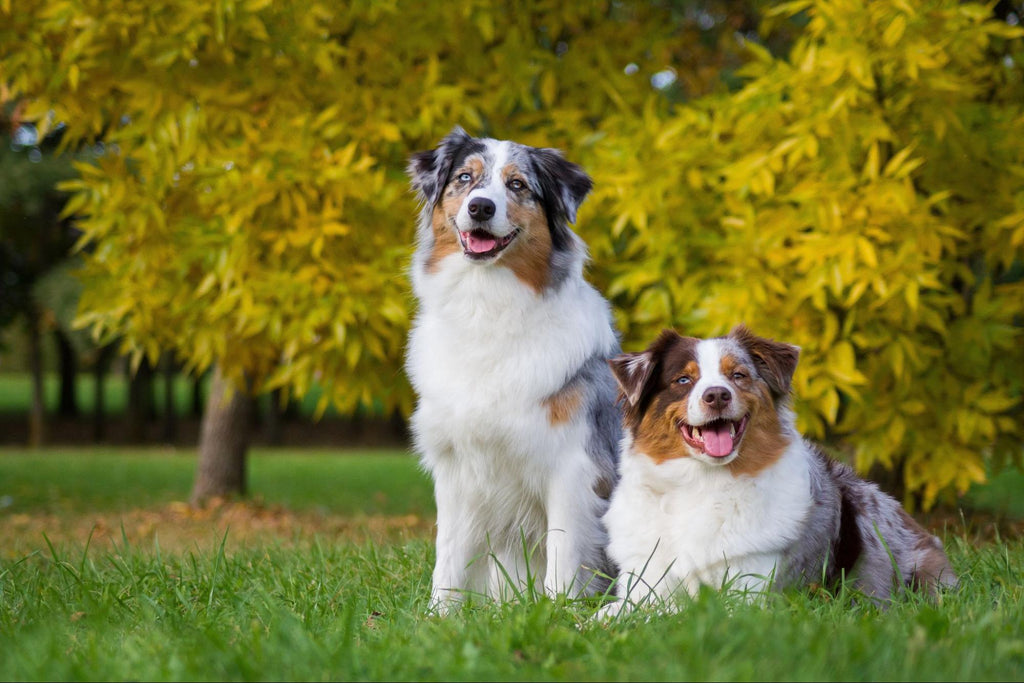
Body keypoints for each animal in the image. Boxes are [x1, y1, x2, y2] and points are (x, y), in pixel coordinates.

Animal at [403, 127, 618, 614]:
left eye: (518, 185)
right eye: (465, 178)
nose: (481, 207)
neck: (487, 307)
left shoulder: (572, 467)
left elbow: (564, 552)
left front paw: (557, 614)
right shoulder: (457, 469)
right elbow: (448, 555)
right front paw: (437, 617)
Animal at [598, 325, 958, 614]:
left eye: (738, 375)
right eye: (683, 380)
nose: (717, 395)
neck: (701, 482)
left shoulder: (748, 593)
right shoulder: (645, 583)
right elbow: (609, 614)